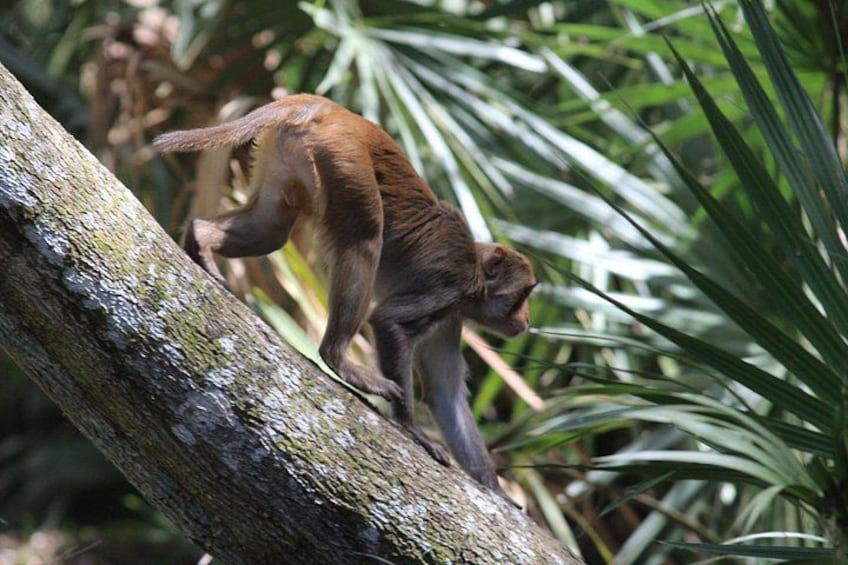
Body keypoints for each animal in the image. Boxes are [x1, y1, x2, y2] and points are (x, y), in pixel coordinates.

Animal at [154, 94, 537, 500]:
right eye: (521, 297)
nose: (526, 320)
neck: (475, 276)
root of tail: (330, 109)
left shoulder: (452, 315)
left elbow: (444, 392)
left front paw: (497, 492)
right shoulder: (448, 285)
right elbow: (389, 321)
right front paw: (412, 429)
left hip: (289, 156)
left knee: (272, 229)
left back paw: (200, 238)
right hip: (343, 158)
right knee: (365, 241)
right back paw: (337, 358)